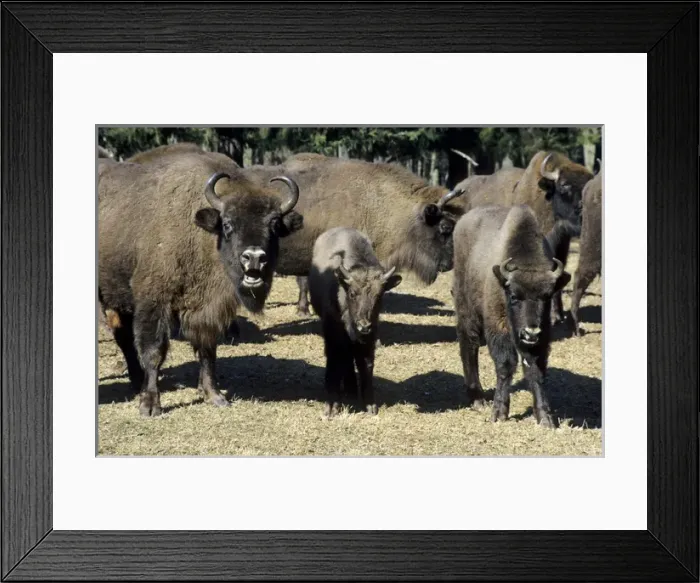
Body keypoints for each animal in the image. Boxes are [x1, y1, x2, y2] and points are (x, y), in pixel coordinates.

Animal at [98, 155, 303, 416]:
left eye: (274, 224)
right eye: (227, 224)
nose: (254, 257)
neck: (201, 236)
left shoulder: (206, 310)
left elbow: (208, 351)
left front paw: (214, 396)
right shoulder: (154, 302)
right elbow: (154, 351)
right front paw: (150, 405)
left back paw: (136, 382)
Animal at [309, 227, 401, 417]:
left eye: (379, 296)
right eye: (352, 293)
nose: (363, 326)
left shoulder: (369, 337)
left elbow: (366, 363)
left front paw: (370, 404)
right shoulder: (333, 332)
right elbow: (335, 360)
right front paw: (332, 404)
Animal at [452, 205, 571, 427]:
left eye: (547, 296)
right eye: (514, 296)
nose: (531, 332)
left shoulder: (541, 337)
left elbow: (535, 369)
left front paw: (545, 418)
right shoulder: (499, 328)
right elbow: (505, 365)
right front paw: (499, 413)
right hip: (467, 310)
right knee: (469, 345)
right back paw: (477, 398)